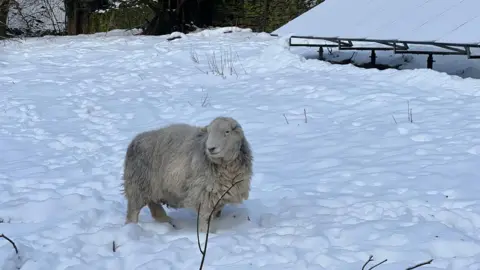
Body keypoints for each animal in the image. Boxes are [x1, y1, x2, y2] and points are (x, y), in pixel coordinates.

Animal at [122, 116, 253, 232]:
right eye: (209, 132)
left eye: (227, 131)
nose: (210, 148)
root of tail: (134, 141)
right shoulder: (203, 194)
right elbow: (205, 219)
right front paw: (205, 234)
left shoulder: (220, 196)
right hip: (137, 186)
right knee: (132, 214)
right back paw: (132, 228)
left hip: (151, 188)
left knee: (154, 208)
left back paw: (168, 222)